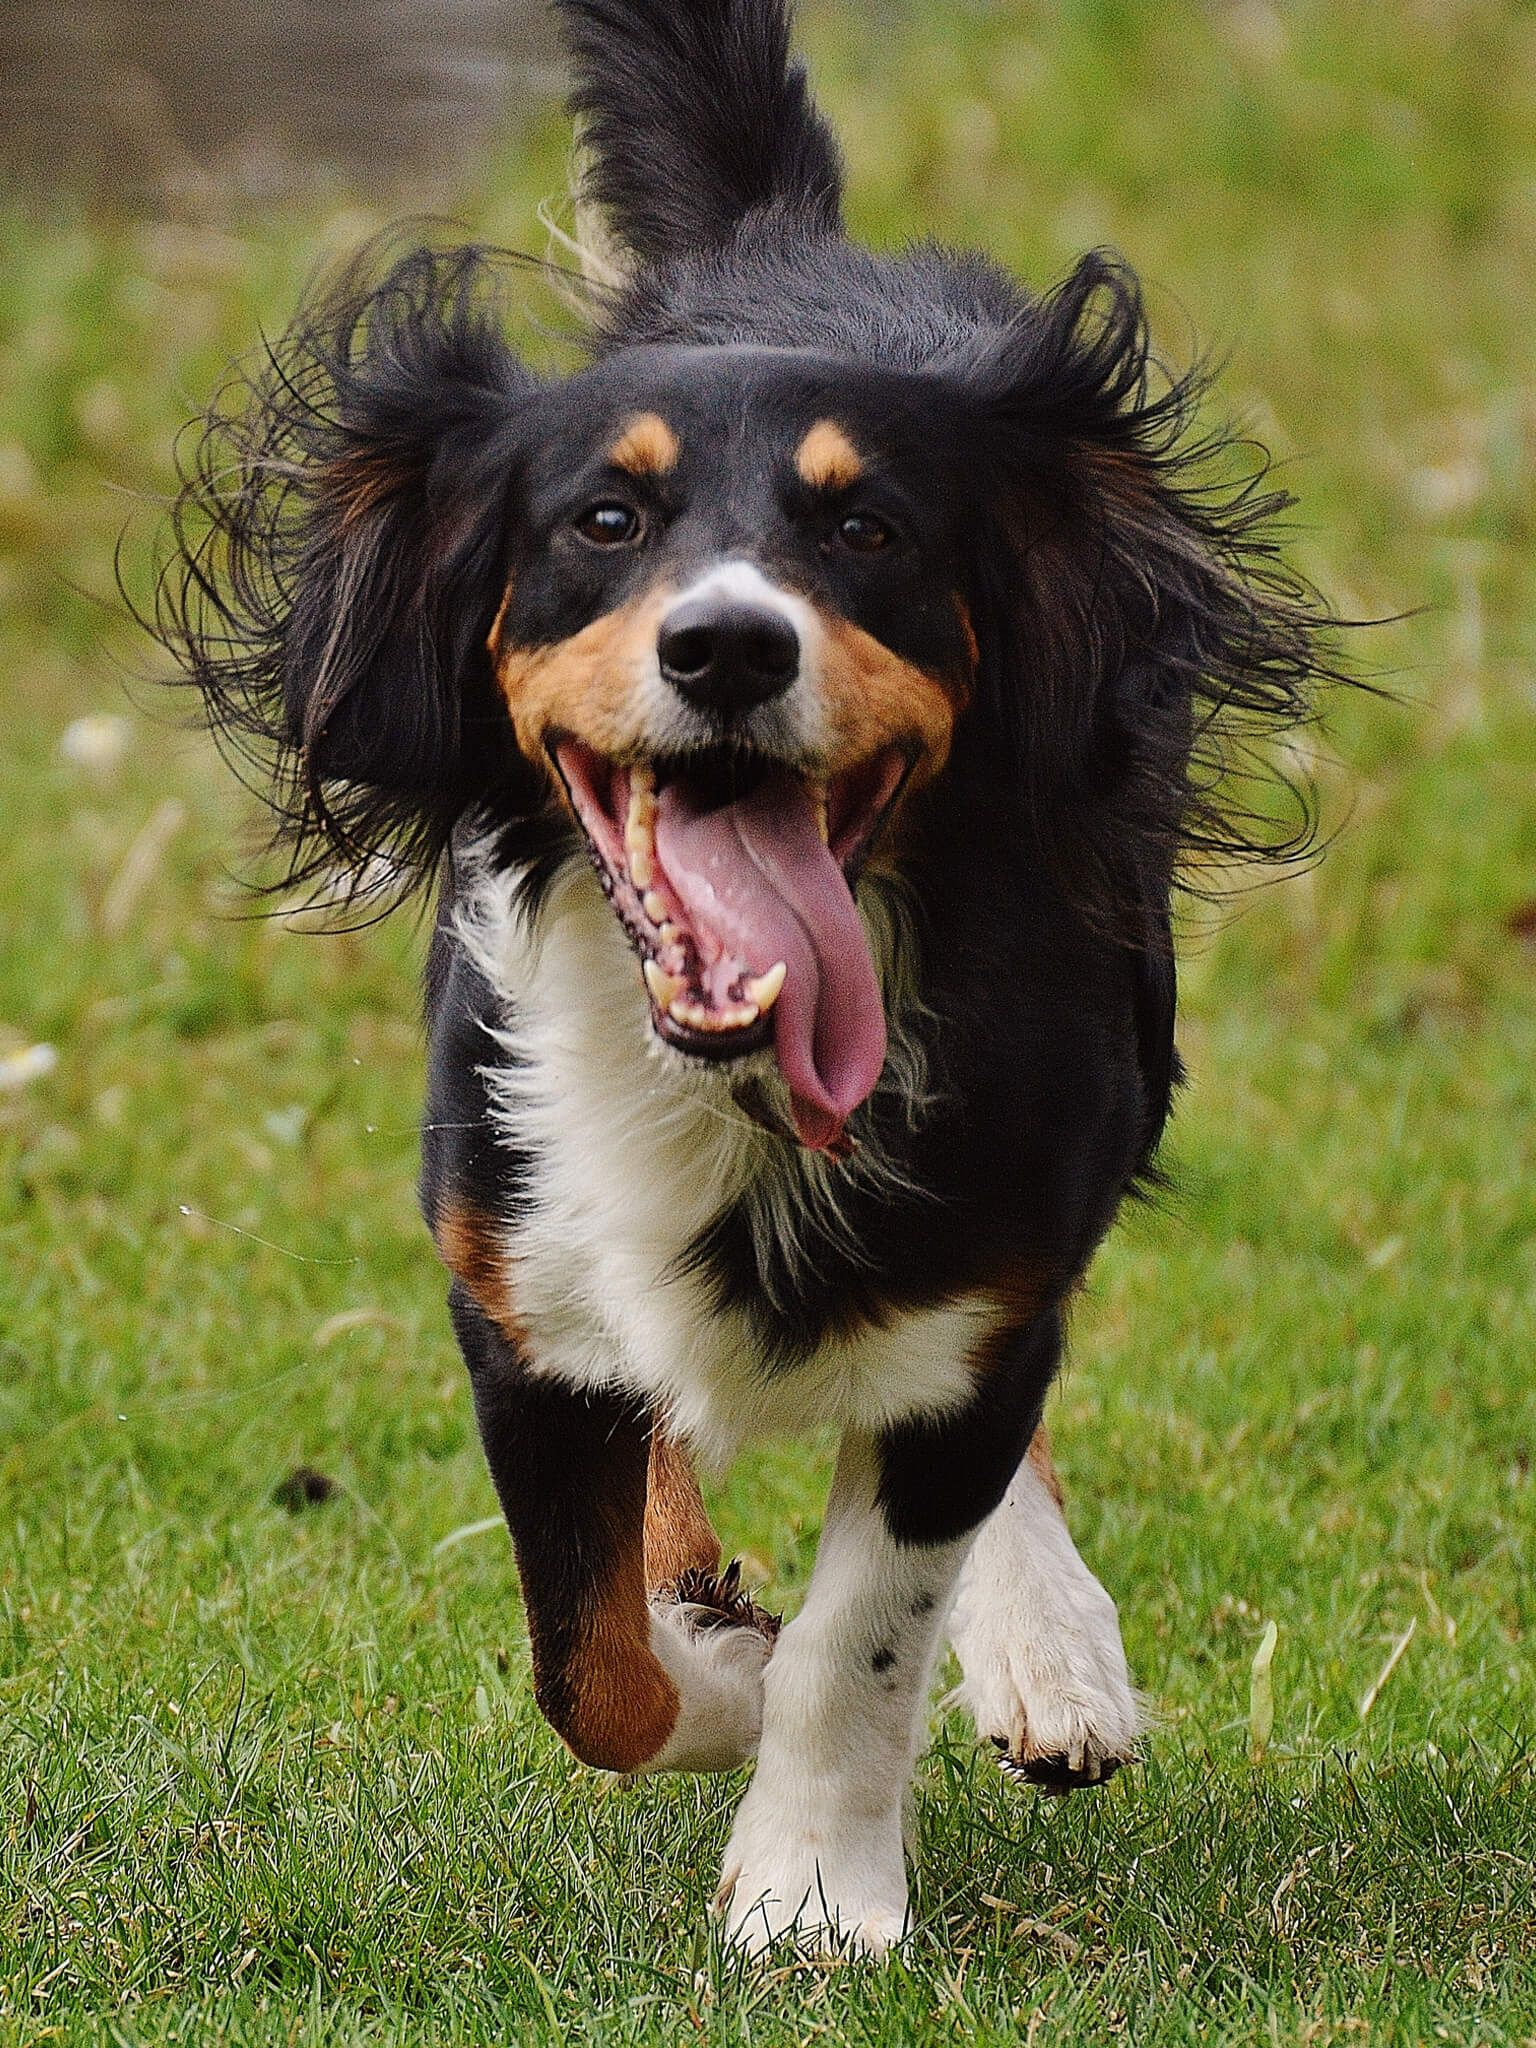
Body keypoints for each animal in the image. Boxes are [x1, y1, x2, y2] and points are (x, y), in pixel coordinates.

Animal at [156, 0, 1335, 1949]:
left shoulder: (989, 1262)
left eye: (868, 533)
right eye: (602, 521)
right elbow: (594, 1662)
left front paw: (813, 1895)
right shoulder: (517, 1282)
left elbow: (867, 1629)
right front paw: (719, 1654)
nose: (725, 646)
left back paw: (1049, 1652)